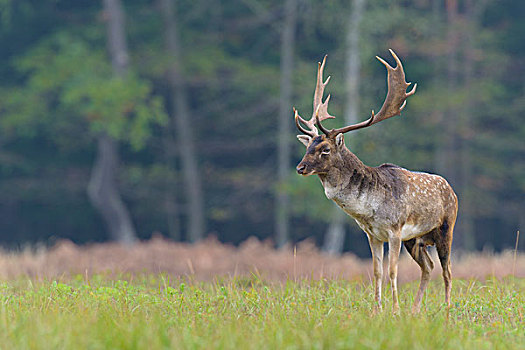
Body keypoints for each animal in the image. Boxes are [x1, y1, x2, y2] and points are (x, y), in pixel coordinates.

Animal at [292, 48, 456, 312]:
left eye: (325, 149)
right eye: (308, 147)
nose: (300, 167)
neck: (368, 210)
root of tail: (452, 190)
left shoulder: (395, 230)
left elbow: (392, 271)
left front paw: (395, 310)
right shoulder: (372, 235)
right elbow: (377, 272)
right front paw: (377, 310)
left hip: (445, 228)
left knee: (447, 270)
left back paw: (448, 309)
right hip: (416, 240)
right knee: (428, 267)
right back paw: (415, 310)